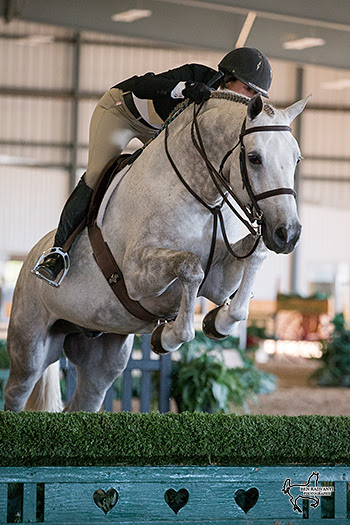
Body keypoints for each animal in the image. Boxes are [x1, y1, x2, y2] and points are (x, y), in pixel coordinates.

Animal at [4, 92, 308, 412]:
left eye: (296, 159)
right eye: (254, 158)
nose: (288, 234)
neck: (200, 194)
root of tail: (31, 258)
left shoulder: (218, 280)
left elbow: (253, 260)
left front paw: (219, 322)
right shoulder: (136, 275)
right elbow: (190, 267)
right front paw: (168, 338)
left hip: (102, 358)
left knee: (83, 402)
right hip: (30, 349)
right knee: (17, 393)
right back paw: (51, 265)